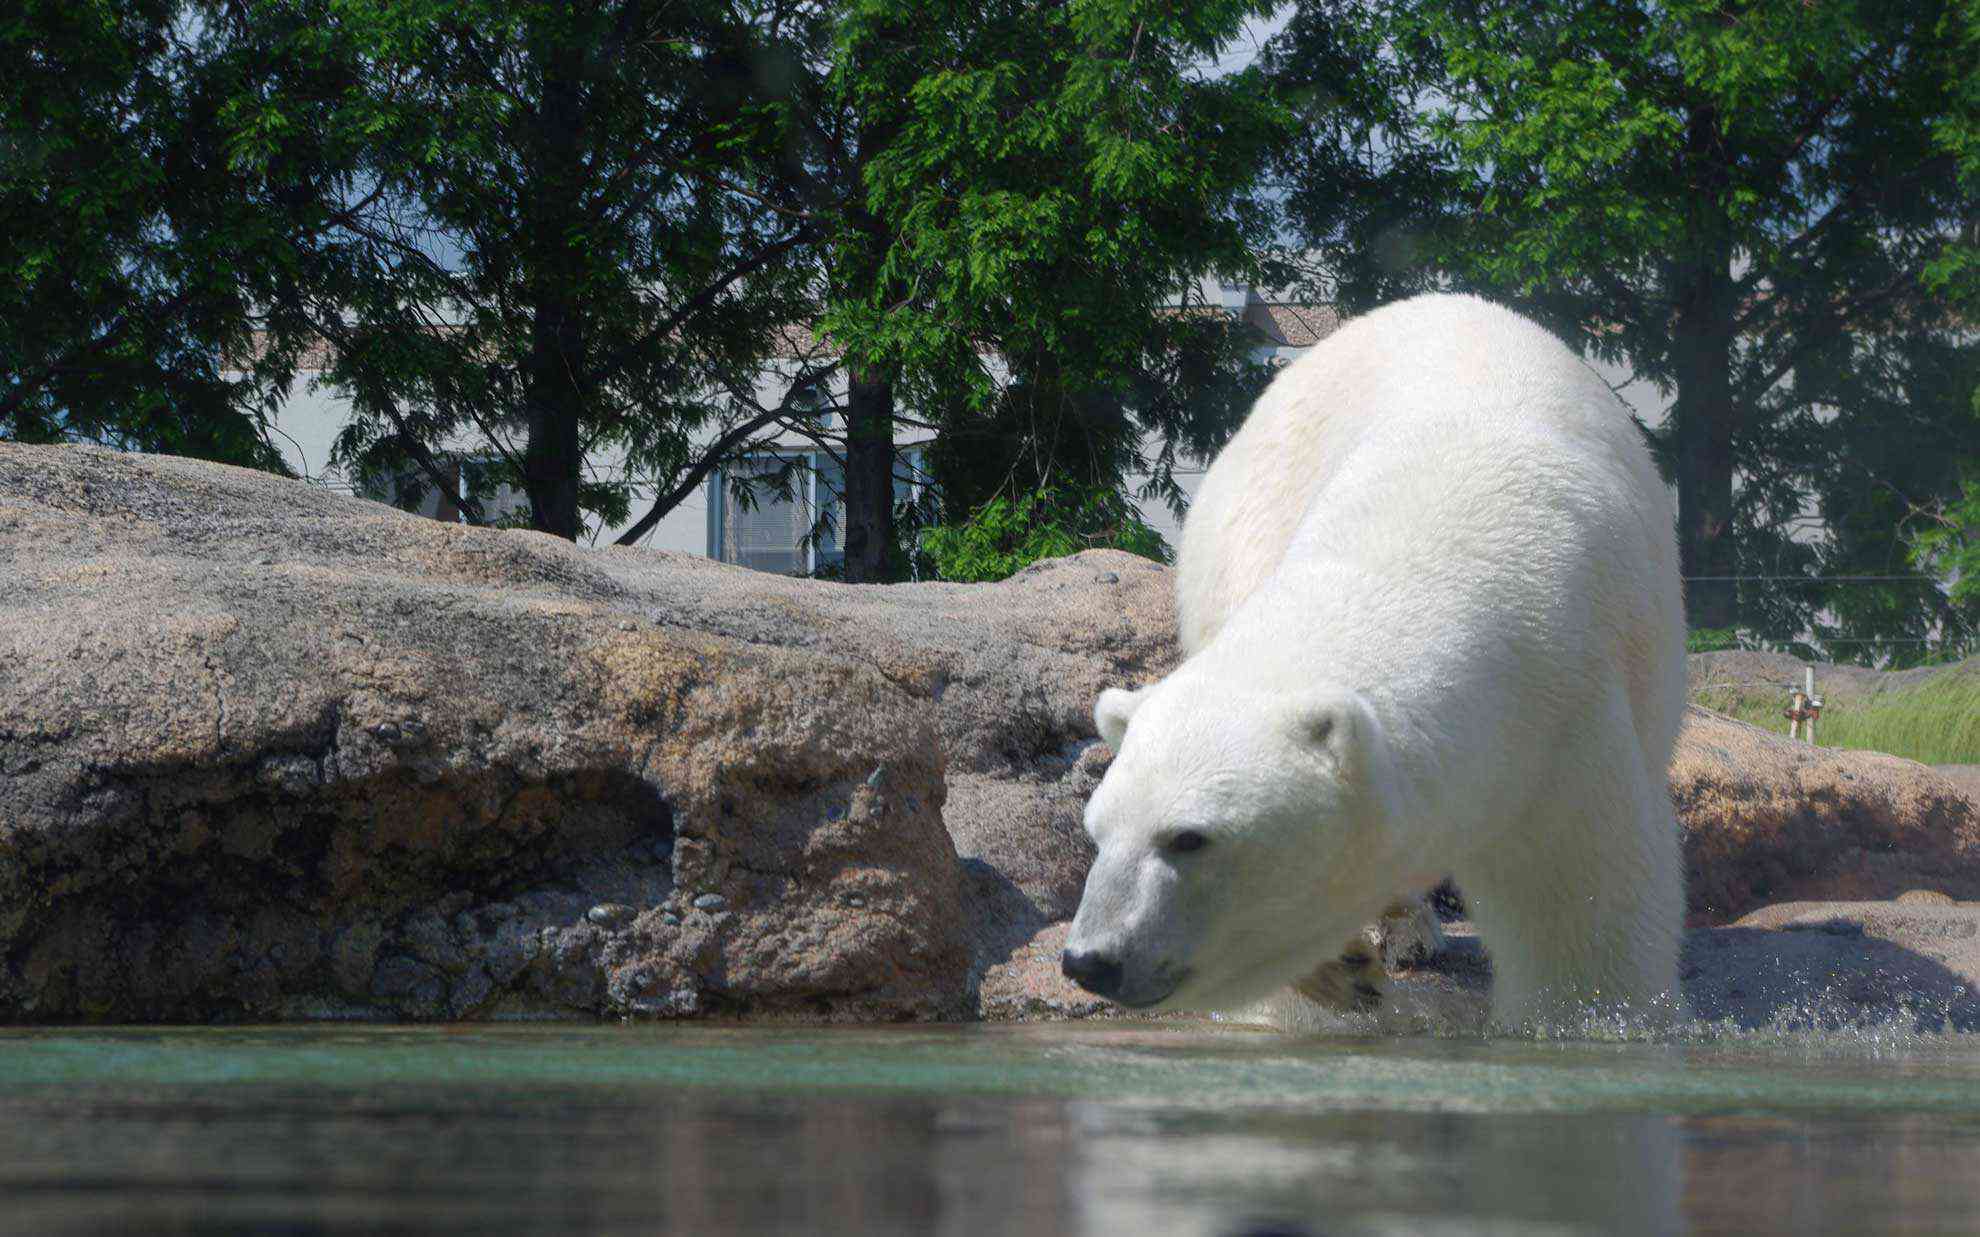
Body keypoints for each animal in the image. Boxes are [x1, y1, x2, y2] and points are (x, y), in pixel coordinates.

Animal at [1069, 294, 1686, 1029]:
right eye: (1097, 831)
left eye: (1189, 837)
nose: (1092, 960)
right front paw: (1335, 974)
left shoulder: (1568, 712)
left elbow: (1578, 907)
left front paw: (1586, 1023)